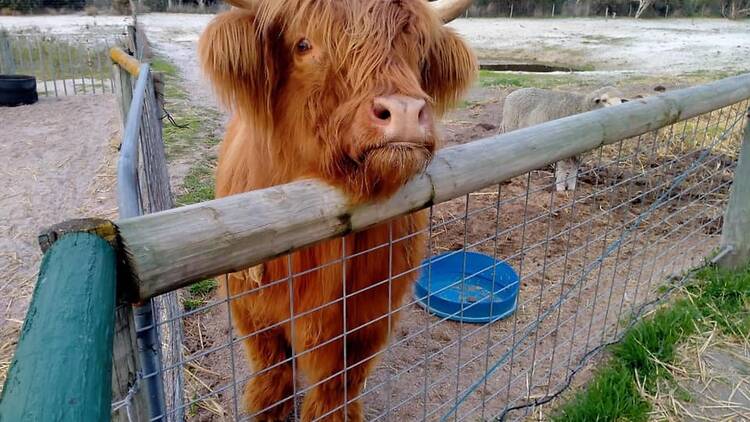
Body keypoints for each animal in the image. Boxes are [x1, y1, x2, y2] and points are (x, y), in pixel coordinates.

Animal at [200, 1, 478, 420]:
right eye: (303, 44)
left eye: (419, 50)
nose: (404, 112)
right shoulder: (252, 309)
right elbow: (272, 371)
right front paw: (268, 409)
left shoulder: (369, 317)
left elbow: (338, 386)